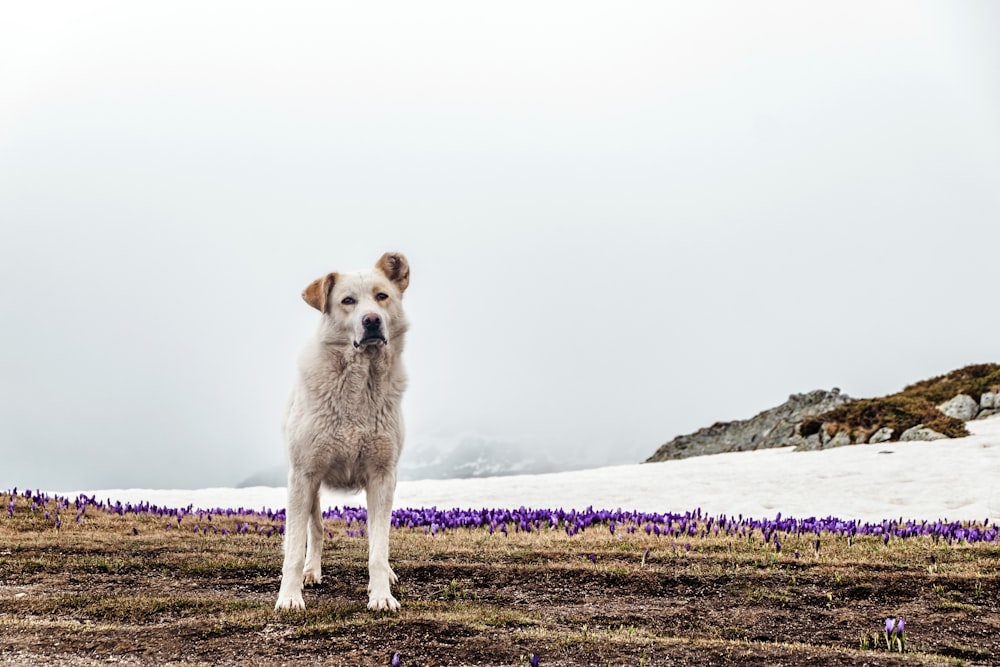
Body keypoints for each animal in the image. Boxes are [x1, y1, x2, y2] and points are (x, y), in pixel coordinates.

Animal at [274, 253, 410, 612]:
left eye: (381, 296)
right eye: (347, 301)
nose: (372, 321)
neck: (359, 383)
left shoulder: (382, 475)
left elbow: (378, 547)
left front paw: (381, 595)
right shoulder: (303, 474)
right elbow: (295, 548)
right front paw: (289, 597)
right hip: (311, 487)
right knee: (316, 530)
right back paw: (310, 573)